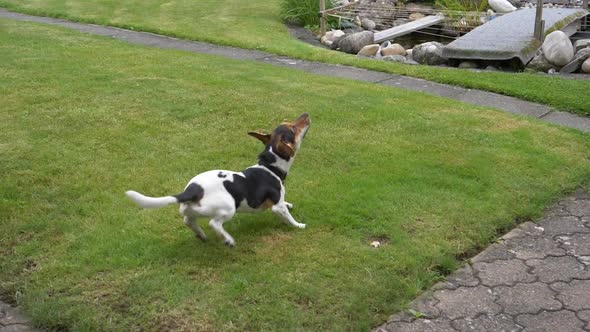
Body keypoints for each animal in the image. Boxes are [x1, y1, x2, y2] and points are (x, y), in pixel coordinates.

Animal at [123, 113, 310, 245]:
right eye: (293, 129)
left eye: (288, 123)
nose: (306, 114)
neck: (270, 167)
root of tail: (192, 190)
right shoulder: (277, 207)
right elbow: (288, 216)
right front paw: (299, 226)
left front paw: (290, 204)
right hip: (228, 208)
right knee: (214, 223)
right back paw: (228, 240)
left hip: (191, 210)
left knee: (188, 220)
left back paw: (201, 235)